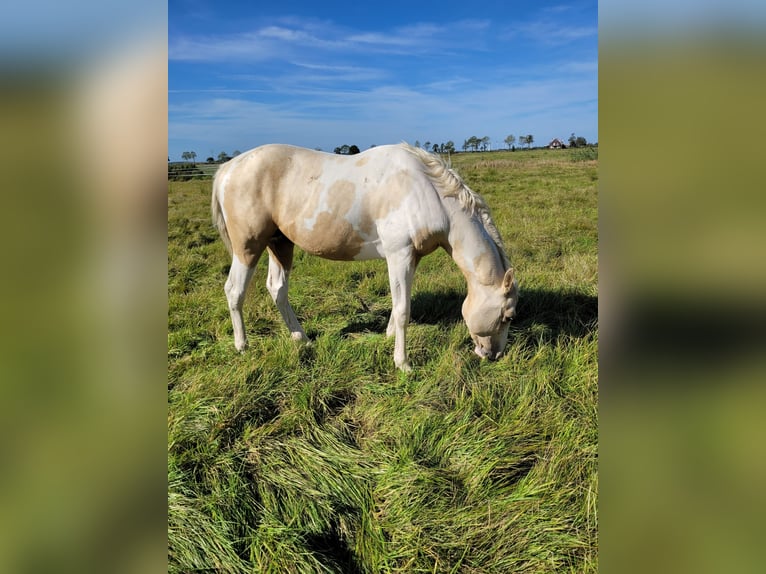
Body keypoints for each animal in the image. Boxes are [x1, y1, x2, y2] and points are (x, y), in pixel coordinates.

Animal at [211, 143, 518, 371]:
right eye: (508, 316)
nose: (493, 355)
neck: (426, 190)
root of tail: (228, 168)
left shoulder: (411, 257)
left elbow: (399, 303)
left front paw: (390, 336)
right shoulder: (399, 254)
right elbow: (404, 309)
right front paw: (403, 363)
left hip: (280, 244)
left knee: (277, 290)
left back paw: (302, 339)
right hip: (248, 248)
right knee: (234, 291)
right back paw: (242, 346)